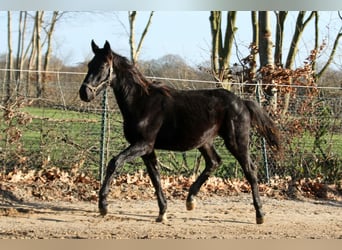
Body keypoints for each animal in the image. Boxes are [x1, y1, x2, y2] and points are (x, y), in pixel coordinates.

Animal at [80, 40, 280, 224]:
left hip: (236, 142)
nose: (84, 93)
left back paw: (260, 214)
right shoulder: (147, 149)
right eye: (90, 65)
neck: (142, 103)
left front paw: (103, 206)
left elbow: (114, 162)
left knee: (250, 170)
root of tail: (242, 102)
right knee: (214, 162)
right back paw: (190, 200)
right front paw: (162, 212)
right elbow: (155, 177)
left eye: (103, 66)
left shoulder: (143, 144)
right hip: (204, 141)